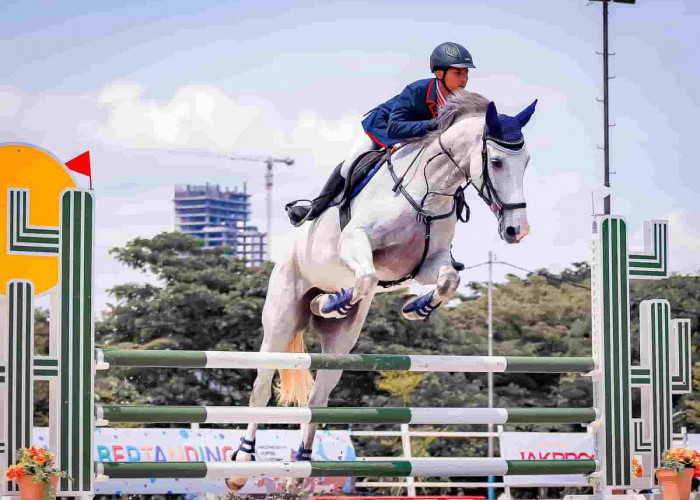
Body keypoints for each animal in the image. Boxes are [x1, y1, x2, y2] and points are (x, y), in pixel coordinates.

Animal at [224, 91, 536, 492]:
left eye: (525, 162)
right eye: (496, 162)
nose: (517, 230)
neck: (426, 190)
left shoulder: (428, 262)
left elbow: (447, 280)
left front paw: (417, 308)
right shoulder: (356, 242)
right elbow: (367, 279)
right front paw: (334, 301)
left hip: (340, 347)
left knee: (319, 395)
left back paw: (301, 466)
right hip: (280, 319)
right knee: (262, 385)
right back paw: (242, 463)